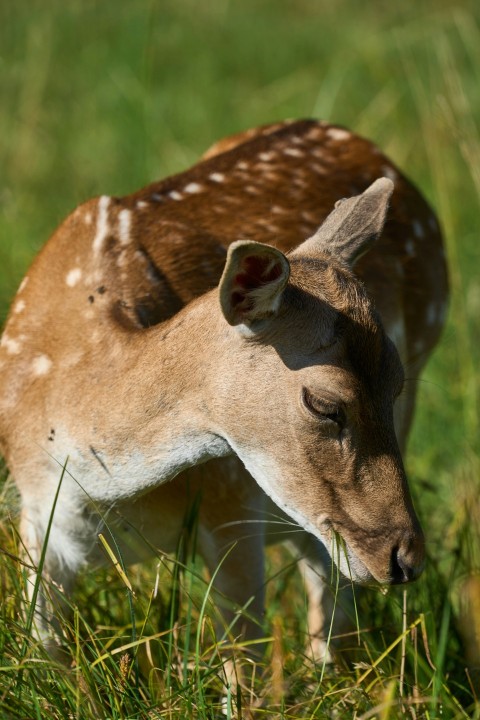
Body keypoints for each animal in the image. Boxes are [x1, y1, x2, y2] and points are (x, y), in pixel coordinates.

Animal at [0, 119, 448, 677]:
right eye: (323, 404)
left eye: (396, 382)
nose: (404, 558)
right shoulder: (39, 516)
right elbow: (43, 656)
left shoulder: (231, 499)